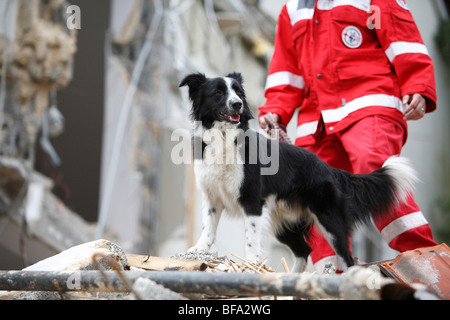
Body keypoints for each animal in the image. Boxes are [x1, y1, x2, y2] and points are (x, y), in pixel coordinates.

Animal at [178, 72, 414, 272]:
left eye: (237, 92)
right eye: (218, 92)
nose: (238, 104)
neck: (224, 137)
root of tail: (330, 169)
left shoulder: (252, 201)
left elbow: (251, 238)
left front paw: (251, 265)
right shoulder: (212, 195)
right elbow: (208, 227)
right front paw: (198, 250)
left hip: (329, 220)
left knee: (347, 258)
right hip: (284, 223)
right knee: (304, 251)